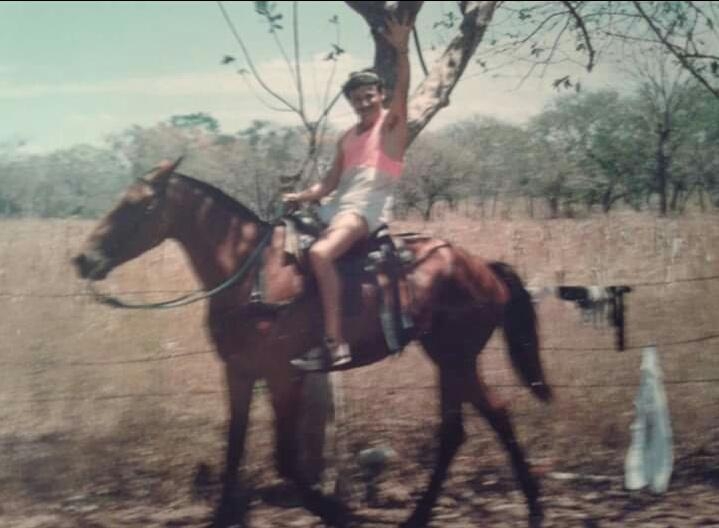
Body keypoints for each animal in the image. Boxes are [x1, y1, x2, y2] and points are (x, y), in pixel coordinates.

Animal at [72, 159, 552, 528]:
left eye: (138, 204)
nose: (82, 259)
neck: (252, 274)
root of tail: (482, 266)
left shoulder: (283, 377)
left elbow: (286, 459)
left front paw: (337, 512)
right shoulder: (239, 373)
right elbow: (234, 449)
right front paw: (224, 514)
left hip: (455, 358)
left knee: (482, 421)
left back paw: (523, 509)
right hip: (448, 358)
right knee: (472, 424)